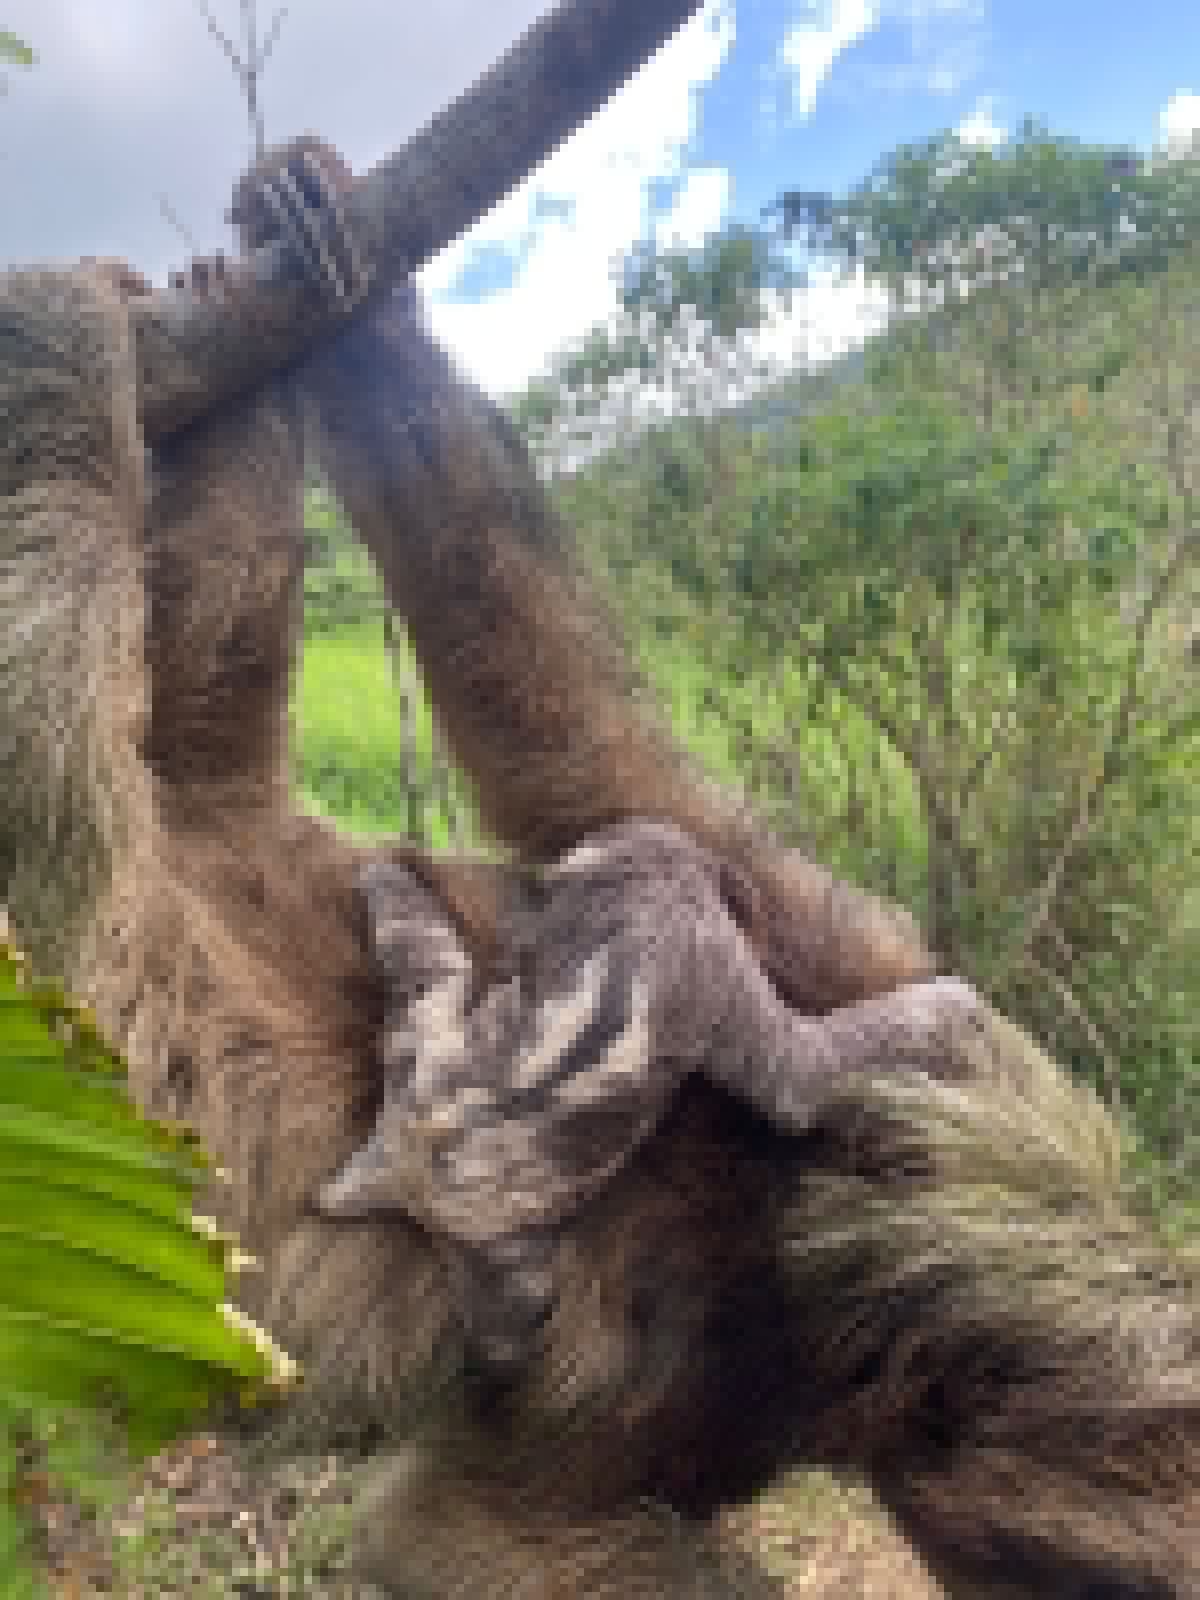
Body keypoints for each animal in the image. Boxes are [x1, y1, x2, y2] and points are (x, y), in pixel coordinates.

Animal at [4, 134, 1200, 1596]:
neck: (801, 1232)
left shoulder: (707, 1386)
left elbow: (479, 1523)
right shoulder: (832, 965)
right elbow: (575, 732)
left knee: (209, 673)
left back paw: (217, 313)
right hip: (77, 958)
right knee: (54, 688)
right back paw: (88, 329)